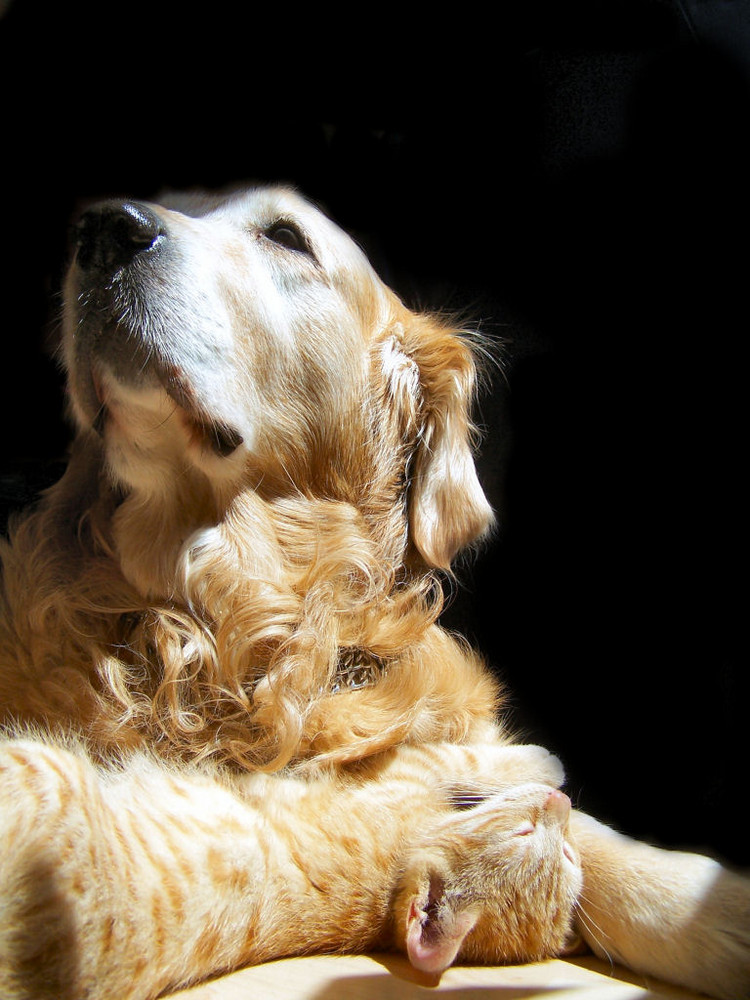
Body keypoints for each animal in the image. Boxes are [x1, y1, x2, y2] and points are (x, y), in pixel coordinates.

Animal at [0, 732, 580, 996]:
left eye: (559, 849)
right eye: (537, 837)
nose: (564, 805)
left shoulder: (396, 775)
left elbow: (457, 754)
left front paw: (546, 760)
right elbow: (465, 758)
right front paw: (548, 766)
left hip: (43, 765)